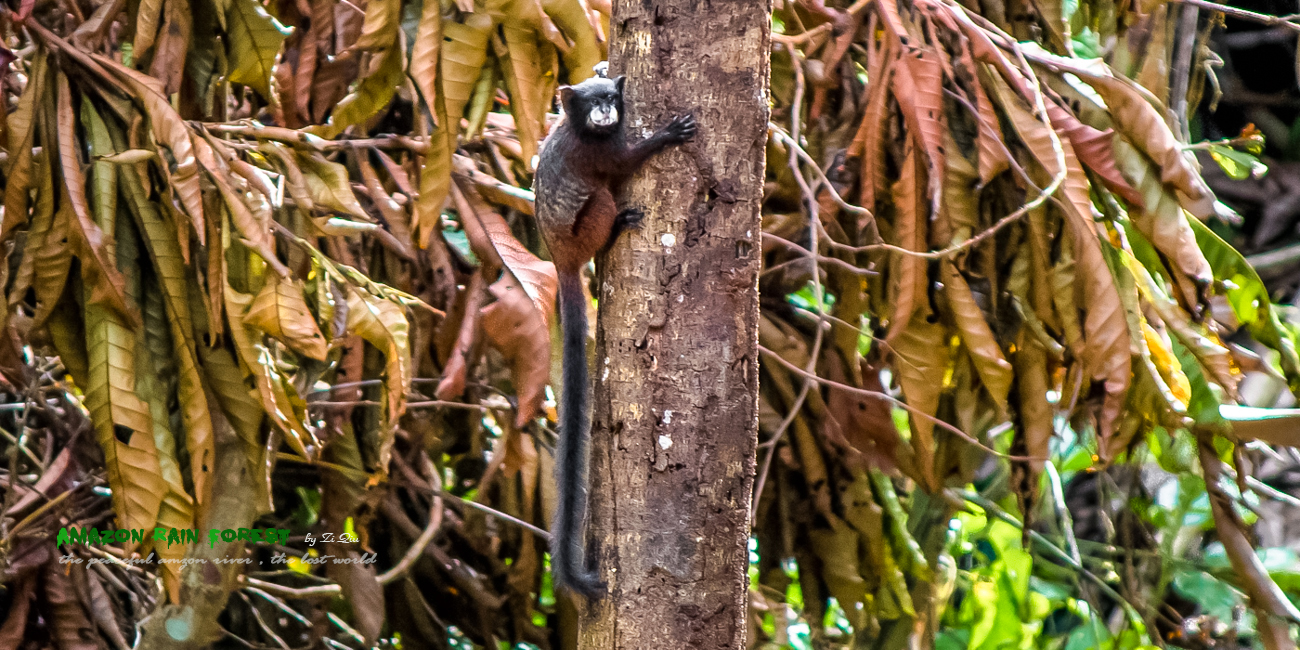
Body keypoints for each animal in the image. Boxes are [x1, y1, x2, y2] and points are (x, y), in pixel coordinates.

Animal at [530, 71, 696, 598]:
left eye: (608, 99)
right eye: (593, 107)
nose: (606, 112)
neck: (585, 130)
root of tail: (560, 257)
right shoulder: (596, 152)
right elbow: (623, 163)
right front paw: (665, 137)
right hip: (584, 226)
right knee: (601, 197)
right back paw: (616, 229)